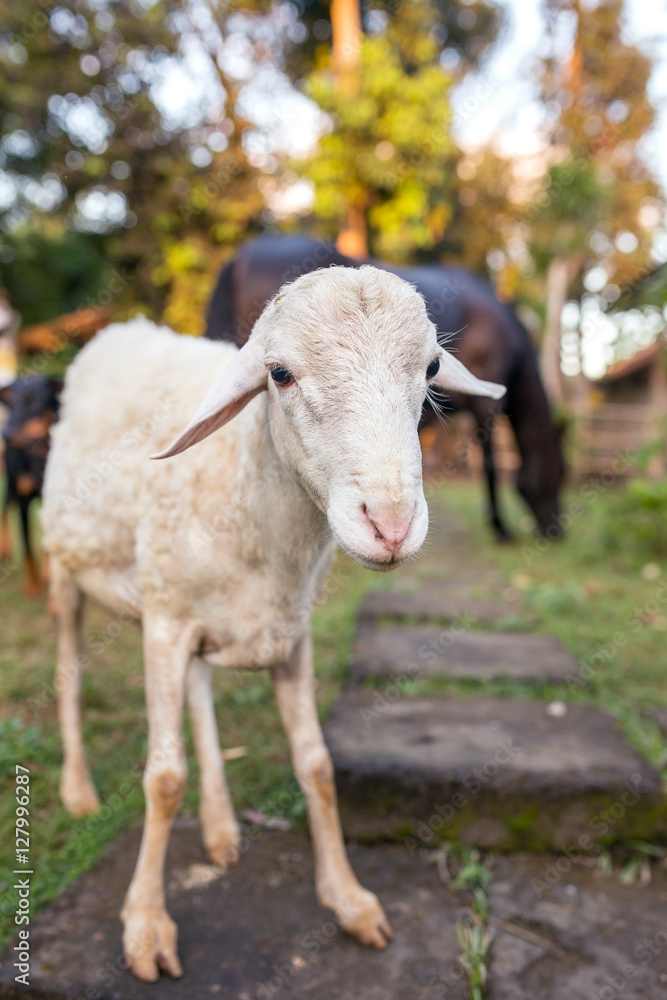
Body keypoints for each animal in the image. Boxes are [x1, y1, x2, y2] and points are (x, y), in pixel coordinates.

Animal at [41, 265, 505, 982]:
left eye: (430, 366)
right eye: (279, 374)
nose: (391, 525)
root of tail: (122, 329)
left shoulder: (289, 631)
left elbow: (315, 764)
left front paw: (349, 900)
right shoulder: (164, 624)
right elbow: (163, 780)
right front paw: (145, 927)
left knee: (199, 690)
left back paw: (220, 826)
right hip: (70, 569)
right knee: (68, 666)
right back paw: (79, 790)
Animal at [205, 235, 565, 539]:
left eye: (433, 367)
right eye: (561, 474)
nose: (556, 531)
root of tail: (237, 260)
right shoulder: (485, 405)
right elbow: (489, 463)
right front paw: (500, 527)